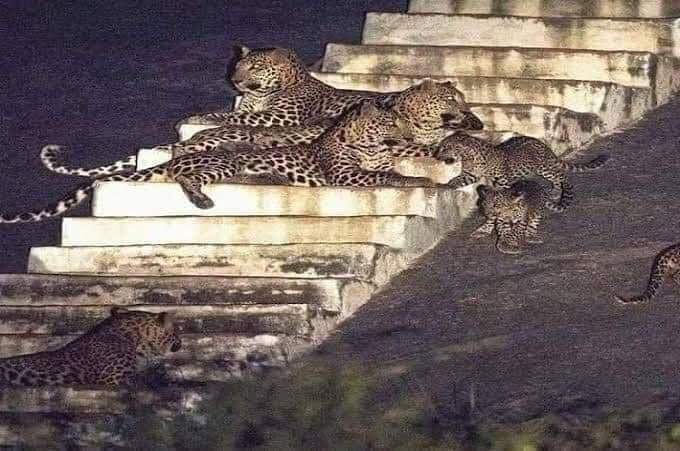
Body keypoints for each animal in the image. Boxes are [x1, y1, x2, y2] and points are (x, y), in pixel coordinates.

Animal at [2, 101, 448, 223]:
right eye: (390, 121)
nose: (407, 133)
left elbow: (394, 171)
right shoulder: (346, 174)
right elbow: (392, 177)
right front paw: (427, 182)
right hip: (222, 165)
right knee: (188, 176)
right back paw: (203, 199)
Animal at [436, 132, 612, 210]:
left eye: (445, 147)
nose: (436, 155)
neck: (468, 156)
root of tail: (543, 144)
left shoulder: (504, 180)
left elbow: (505, 193)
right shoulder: (470, 175)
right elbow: (457, 180)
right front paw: (445, 186)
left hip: (543, 167)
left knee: (560, 176)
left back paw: (560, 191)